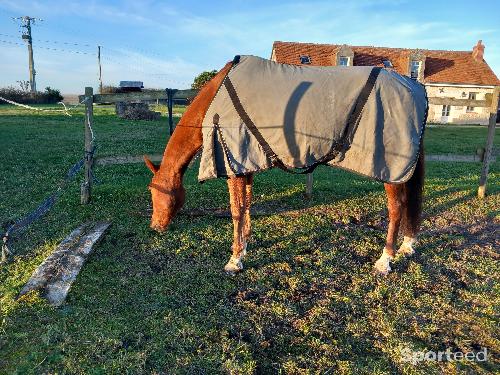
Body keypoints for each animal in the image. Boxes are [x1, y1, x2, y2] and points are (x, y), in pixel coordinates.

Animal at [144, 59, 422, 276]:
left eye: (153, 190)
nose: (155, 226)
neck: (216, 95)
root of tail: (414, 87)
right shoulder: (246, 162)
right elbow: (246, 206)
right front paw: (243, 250)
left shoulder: (234, 161)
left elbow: (236, 210)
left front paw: (234, 260)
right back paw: (407, 245)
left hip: (391, 170)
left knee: (396, 208)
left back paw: (385, 261)